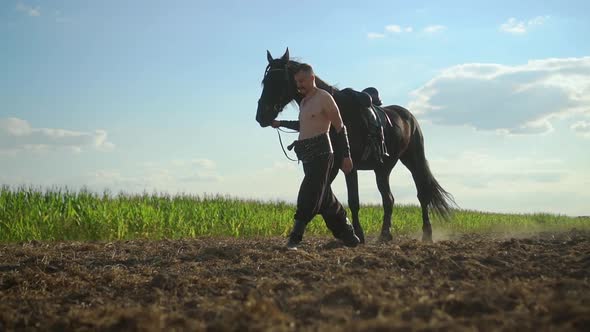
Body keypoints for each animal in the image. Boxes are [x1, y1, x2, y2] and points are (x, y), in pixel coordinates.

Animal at [256, 48, 458, 243]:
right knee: (388, 199)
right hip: (382, 168)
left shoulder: (348, 166)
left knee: (422, 195)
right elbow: (324, 194)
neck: (337, 111)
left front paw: (358, 234)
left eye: (280, 80)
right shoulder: (332, 166)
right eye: (265, 81)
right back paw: (385, 235)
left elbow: (353, 200)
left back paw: (427, 234)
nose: (261, 116)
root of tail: (410, 117)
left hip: (413, 161)